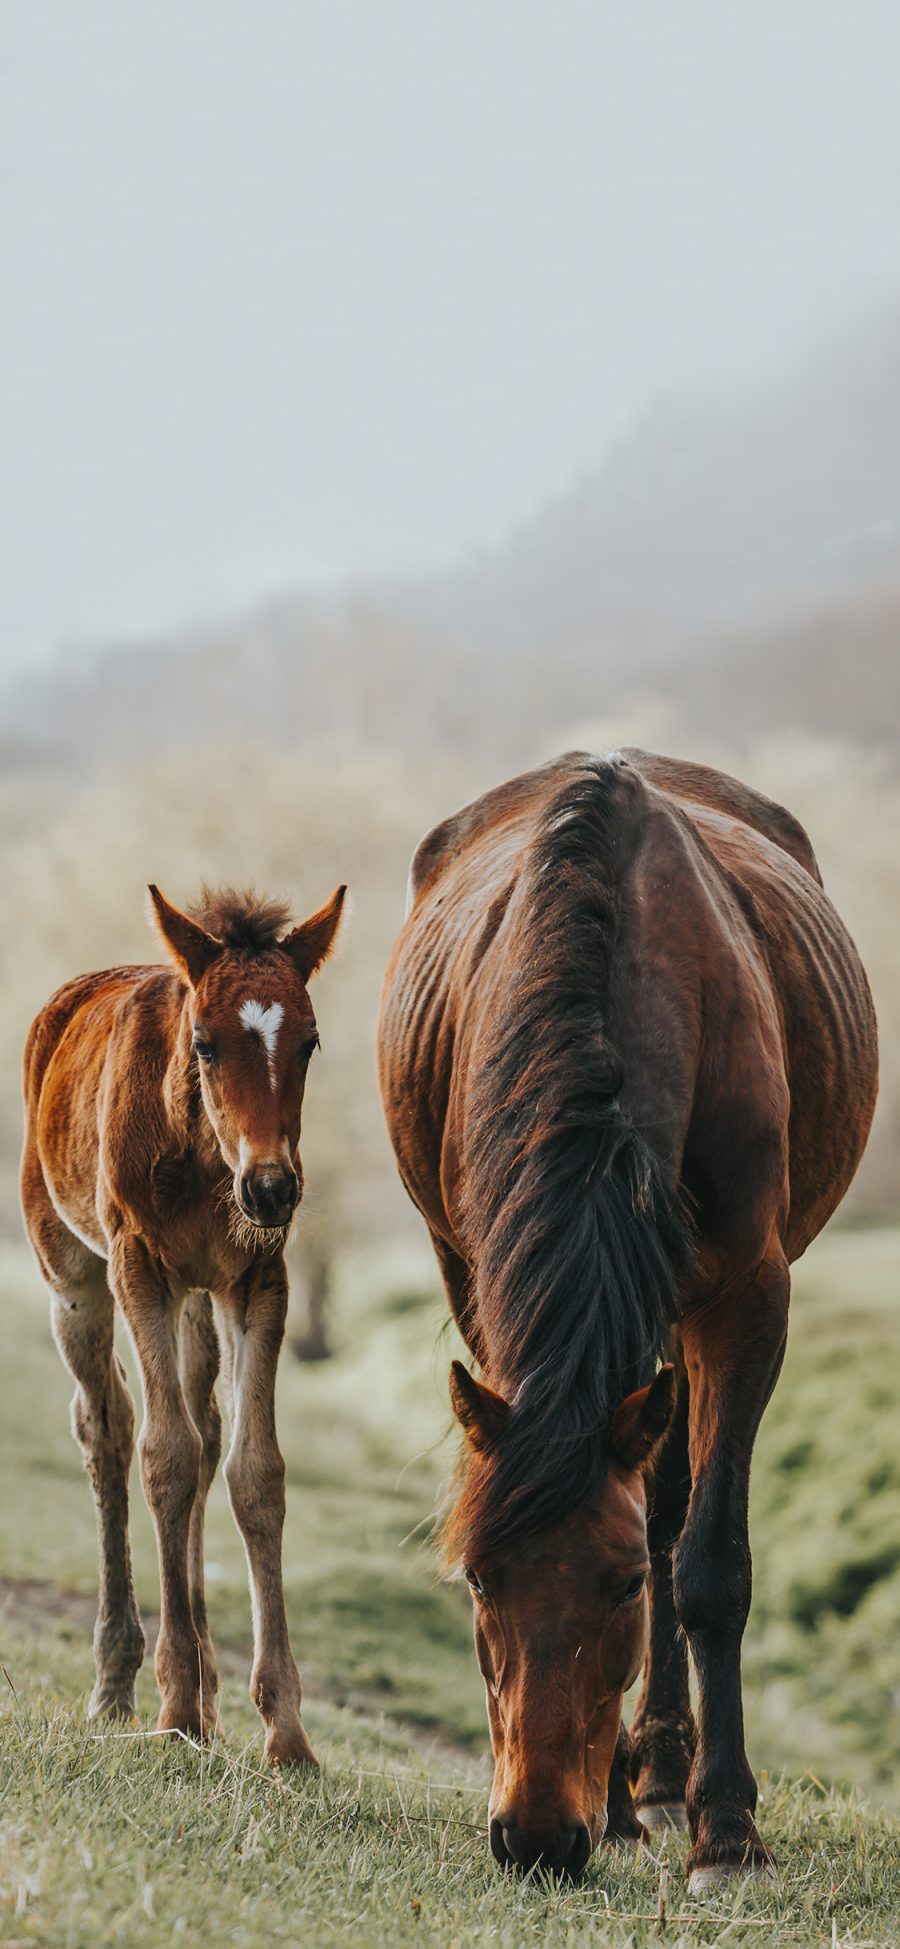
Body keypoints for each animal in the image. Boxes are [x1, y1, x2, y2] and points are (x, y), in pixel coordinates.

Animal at [21, 884, 344, 1769]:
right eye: (204, 1043)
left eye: (309, 1040)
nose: (272, 1189)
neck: (206, 1158)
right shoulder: (140, 1266)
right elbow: (162, 1455)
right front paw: (172, 1706)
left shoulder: (257, 1279)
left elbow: (253, 1471)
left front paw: (285, 1731)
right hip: (74, 1275)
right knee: (108, 1426)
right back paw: (121, 1680)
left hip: (199, 1301)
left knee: (204, 1429)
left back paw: (206, 1688)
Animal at [375, 752, 876, 1894]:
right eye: (479, 1576)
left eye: (620, 1588)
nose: (535, 1835)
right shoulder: (484, 1279)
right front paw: (614, 1803)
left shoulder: (746, 1295)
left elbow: (706, 1558)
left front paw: (726, 1829)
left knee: (674, 1500)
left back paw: (669, 1776)